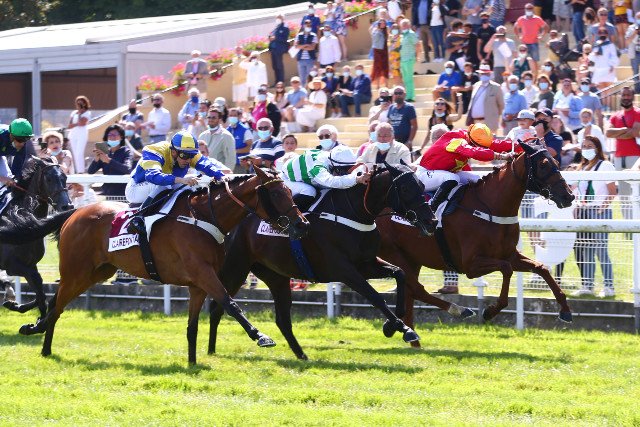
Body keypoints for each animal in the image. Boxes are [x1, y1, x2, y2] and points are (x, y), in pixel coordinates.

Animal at [1, 156, 73, 322]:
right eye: (49, 178)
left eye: (65, 177)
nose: (67, 206)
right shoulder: (12, 265)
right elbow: (39, 289)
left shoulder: (30, 264)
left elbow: (40, 290)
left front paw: (14, 305)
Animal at [194, 163, 439, 361]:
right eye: (406, 189)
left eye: (421, 185)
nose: (432, 221)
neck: (353, 212)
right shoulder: (344, 270)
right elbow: (375, 296)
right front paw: (401, 327)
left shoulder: (366, 263)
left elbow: (399, 273)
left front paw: (394, 324)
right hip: (235, 267)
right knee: (217, 306)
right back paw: (212, 350)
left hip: (275, 276)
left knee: (282, 319)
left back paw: (301, 355)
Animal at [375, 140, 576, 345]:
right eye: (543, 165)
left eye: (556, 162)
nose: (568, 196)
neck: (490, 207)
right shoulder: (470, 265)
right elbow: (506, 270)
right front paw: (490, 311)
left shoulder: (510, 255)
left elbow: (542, 268)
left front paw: (565, 310)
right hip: (394, 253)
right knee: (416, 288)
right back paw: (452, 312)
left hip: (412, 258)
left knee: (410, 290)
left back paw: (412, 338)